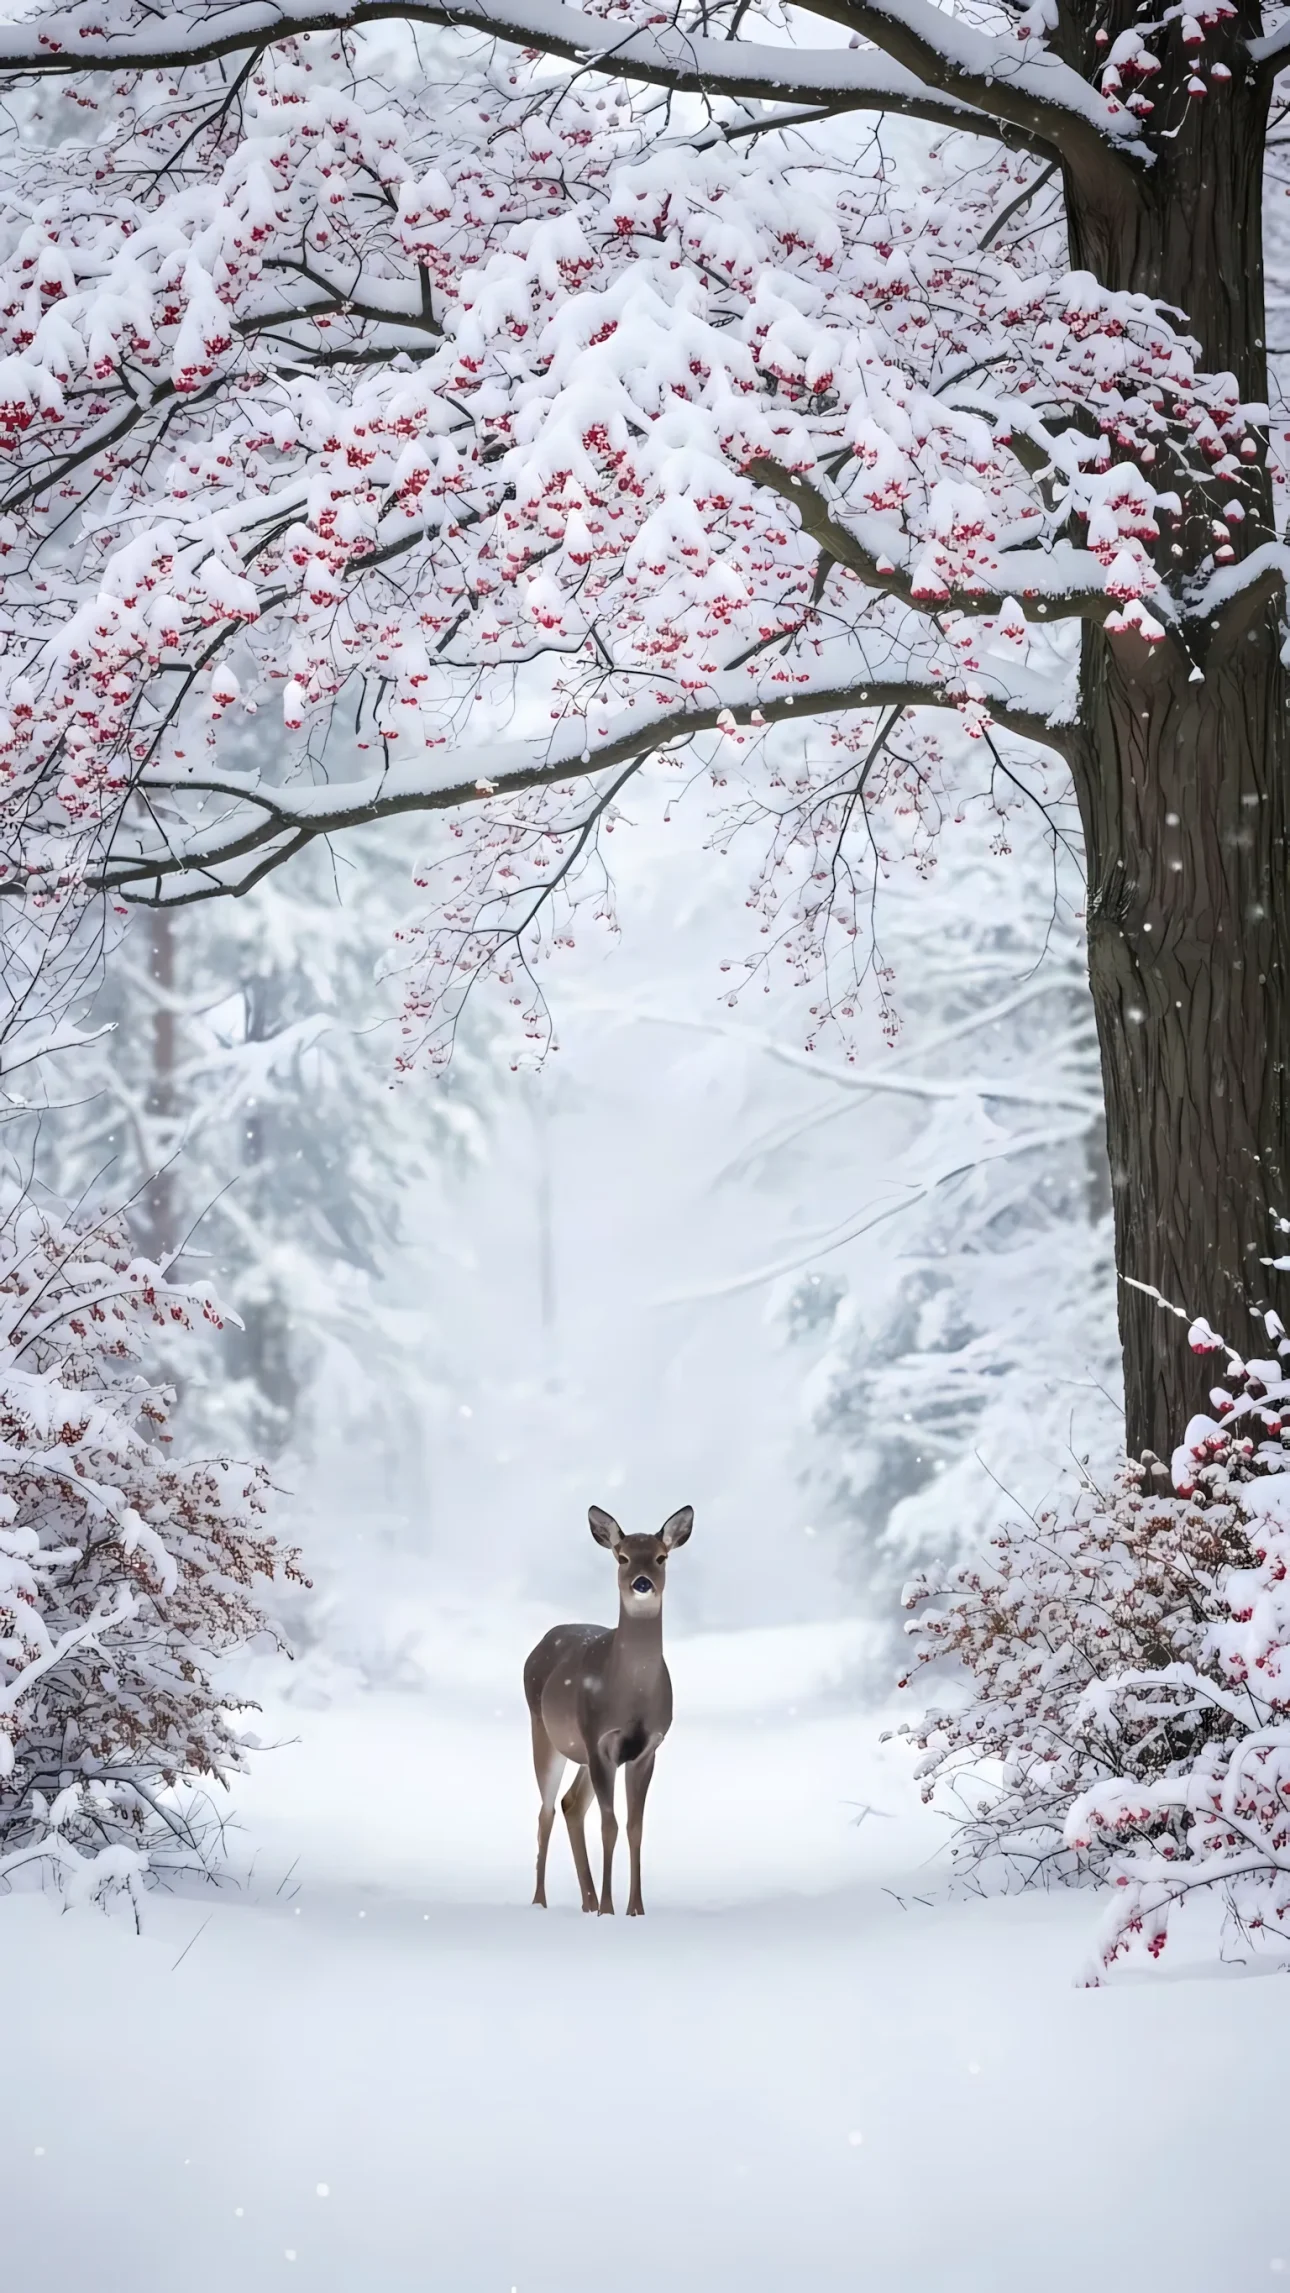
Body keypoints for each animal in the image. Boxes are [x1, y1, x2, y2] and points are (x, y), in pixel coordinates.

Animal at [523, 1503, 693, 1917]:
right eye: (623, 1557)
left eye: (662, 1557)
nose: (642, 1583)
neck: (632, 1696)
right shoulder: (600, 1740)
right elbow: (609, 1825)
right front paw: (609, 1909)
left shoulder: (647, 1748)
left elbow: (635, 1826)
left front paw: (636, 1909)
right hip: (545, 1733)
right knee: (546, 1810)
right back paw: (540, 1901)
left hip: (583, 1754)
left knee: (571, 1804)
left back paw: (585, 1902)